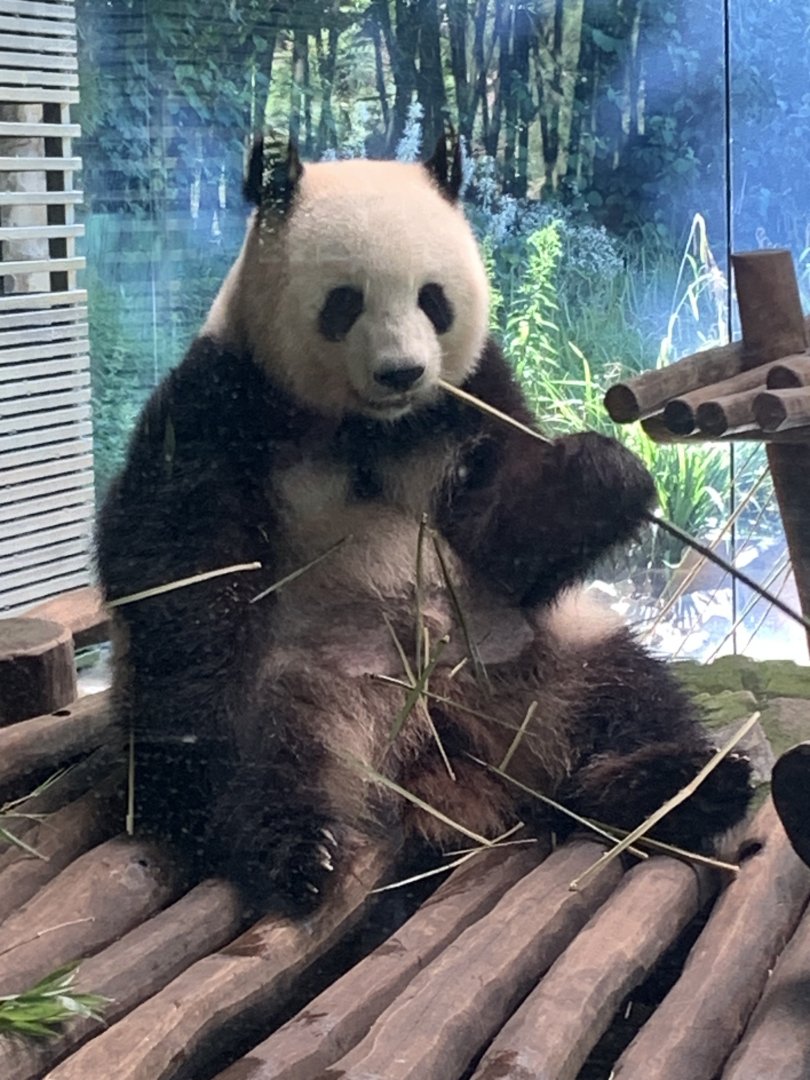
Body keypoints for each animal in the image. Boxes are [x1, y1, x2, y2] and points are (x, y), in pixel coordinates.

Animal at [96, 132, 753, 914]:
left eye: (432, 300)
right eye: (344, 302)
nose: (402, 372)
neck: (369, 425)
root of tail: (440, 750)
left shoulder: (465, 397)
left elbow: (504, 535)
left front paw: (603, 473)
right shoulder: (222, 401)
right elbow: (177, 560)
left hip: (538, 647)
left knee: (626, 696)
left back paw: (683, 786)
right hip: (311, 684)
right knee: (257, 753)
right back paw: (298, 851)